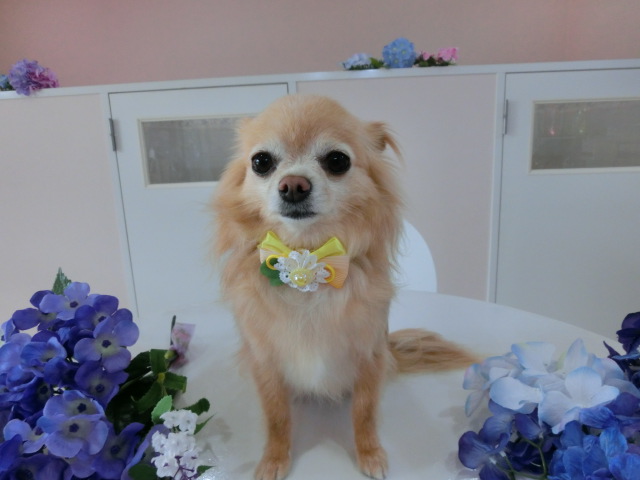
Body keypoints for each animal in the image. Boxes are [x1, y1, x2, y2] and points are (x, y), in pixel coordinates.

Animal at [212, 94, 475, 480]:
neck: (306, 258)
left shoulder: (368, 355)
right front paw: (274, 459)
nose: (293, 184)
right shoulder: (265, 361)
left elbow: (364, 412)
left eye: (337, 160)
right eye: (261, 162)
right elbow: (277, 417)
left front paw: (370, 454)